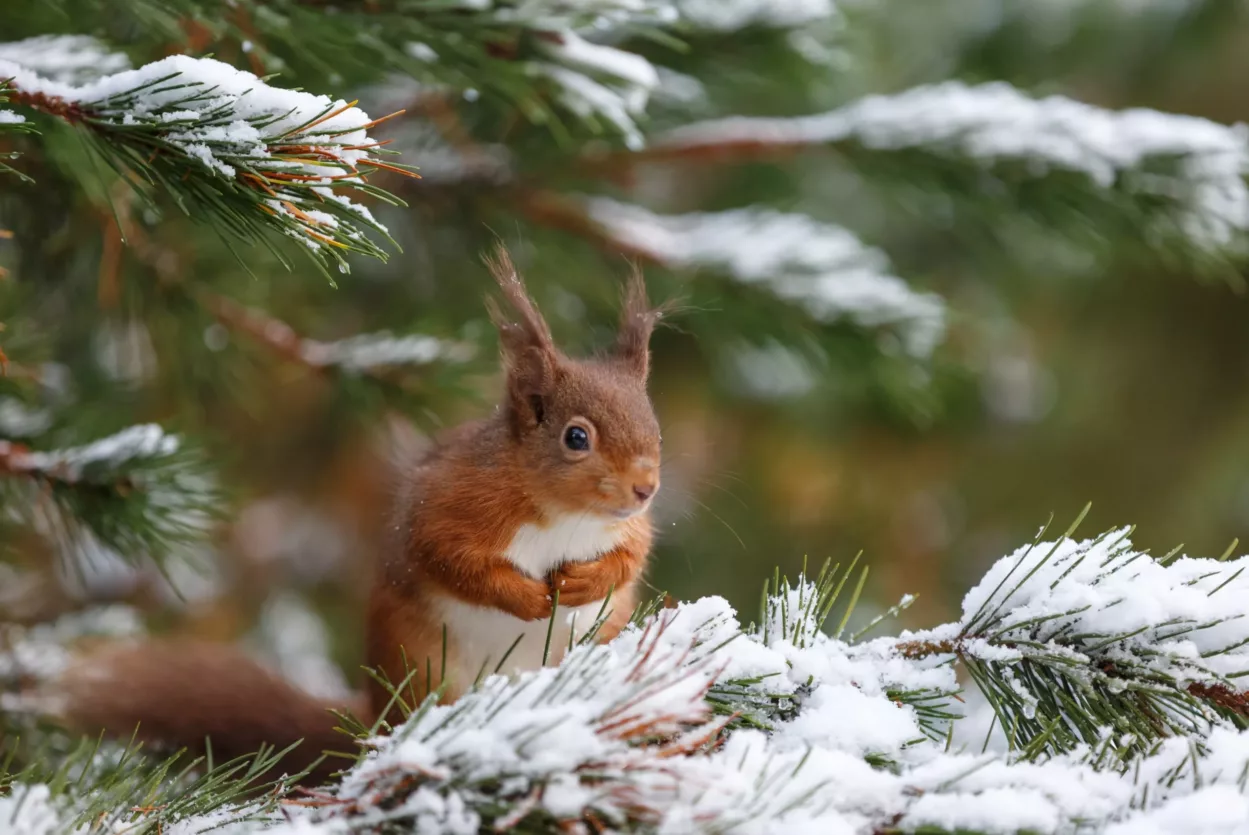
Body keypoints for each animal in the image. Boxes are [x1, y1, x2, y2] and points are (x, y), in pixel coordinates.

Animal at [41, 245, 664, 783]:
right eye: (576, 437)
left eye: (654, 426)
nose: (646, 488)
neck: (562, 517)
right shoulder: (451, 504)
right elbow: (449, 559)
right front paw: (527, 597)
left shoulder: (628, 529)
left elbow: (630, 559)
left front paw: (587, 580)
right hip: (422, 665)